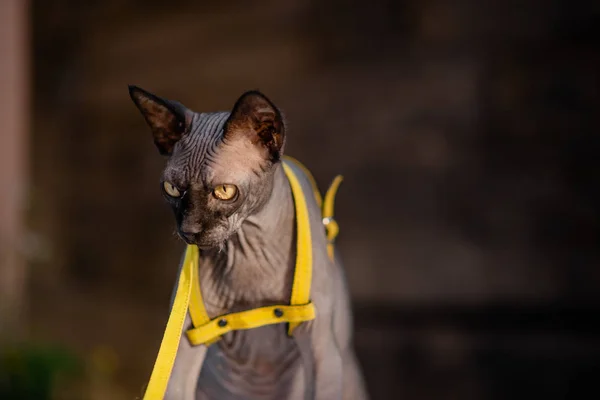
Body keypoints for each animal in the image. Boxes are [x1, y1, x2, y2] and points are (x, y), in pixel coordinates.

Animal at [129, 87, 368, 400]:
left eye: (224, 191)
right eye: (172, 189)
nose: (189, 230)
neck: (247, 247)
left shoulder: (320, 347)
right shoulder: (185, 343)